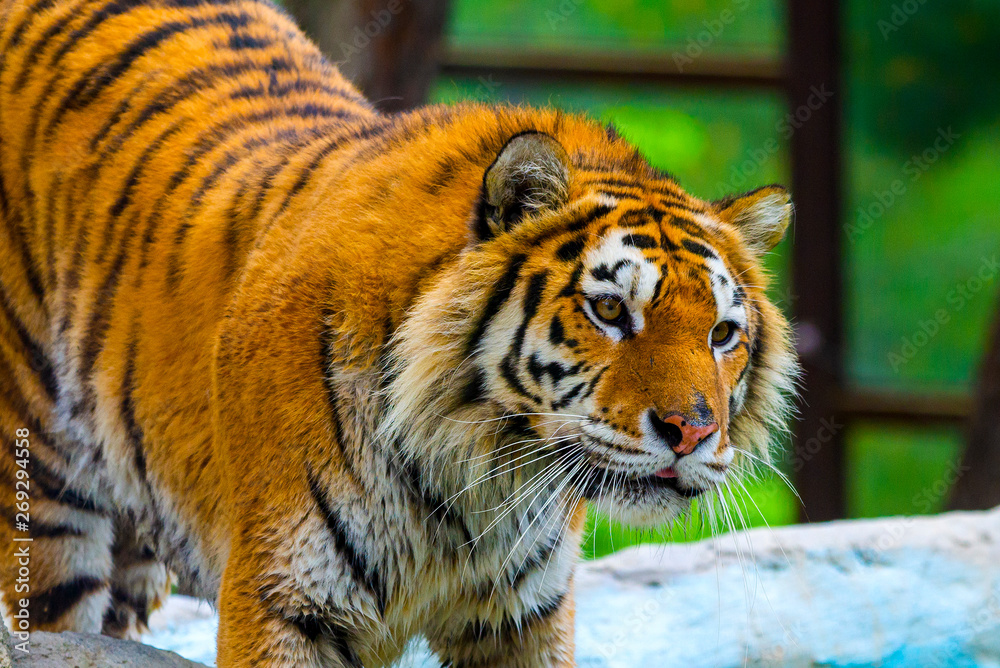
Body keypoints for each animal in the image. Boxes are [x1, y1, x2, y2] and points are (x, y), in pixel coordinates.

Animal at [0, 0, 798, 665]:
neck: (478, 482)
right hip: (45, 498)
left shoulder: (525, 617)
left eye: (722, 334)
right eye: (608, 311)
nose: (692, 433)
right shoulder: (282, 599)